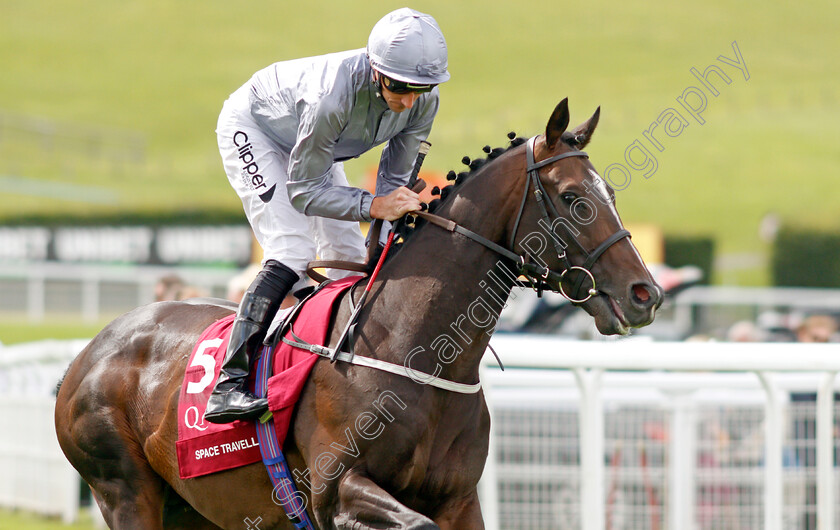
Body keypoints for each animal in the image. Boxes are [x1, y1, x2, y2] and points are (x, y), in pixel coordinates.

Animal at [57, 98, 664, 524]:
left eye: (610, 192)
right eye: (571, 197)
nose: (646, 294)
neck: (417, 350)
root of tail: (89, 351)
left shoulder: (460, 499)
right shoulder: (338, 492)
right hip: (125, 491)